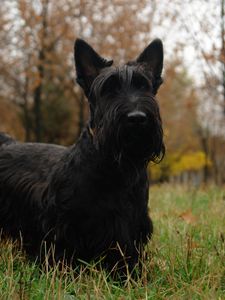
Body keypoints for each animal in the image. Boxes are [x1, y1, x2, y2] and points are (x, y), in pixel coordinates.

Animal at [0, 38, 165, 278]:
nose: (136, 118)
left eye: (144, 86)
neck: (115, 168)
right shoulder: (63, 226)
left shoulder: (131, 225)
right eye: (108, 89)